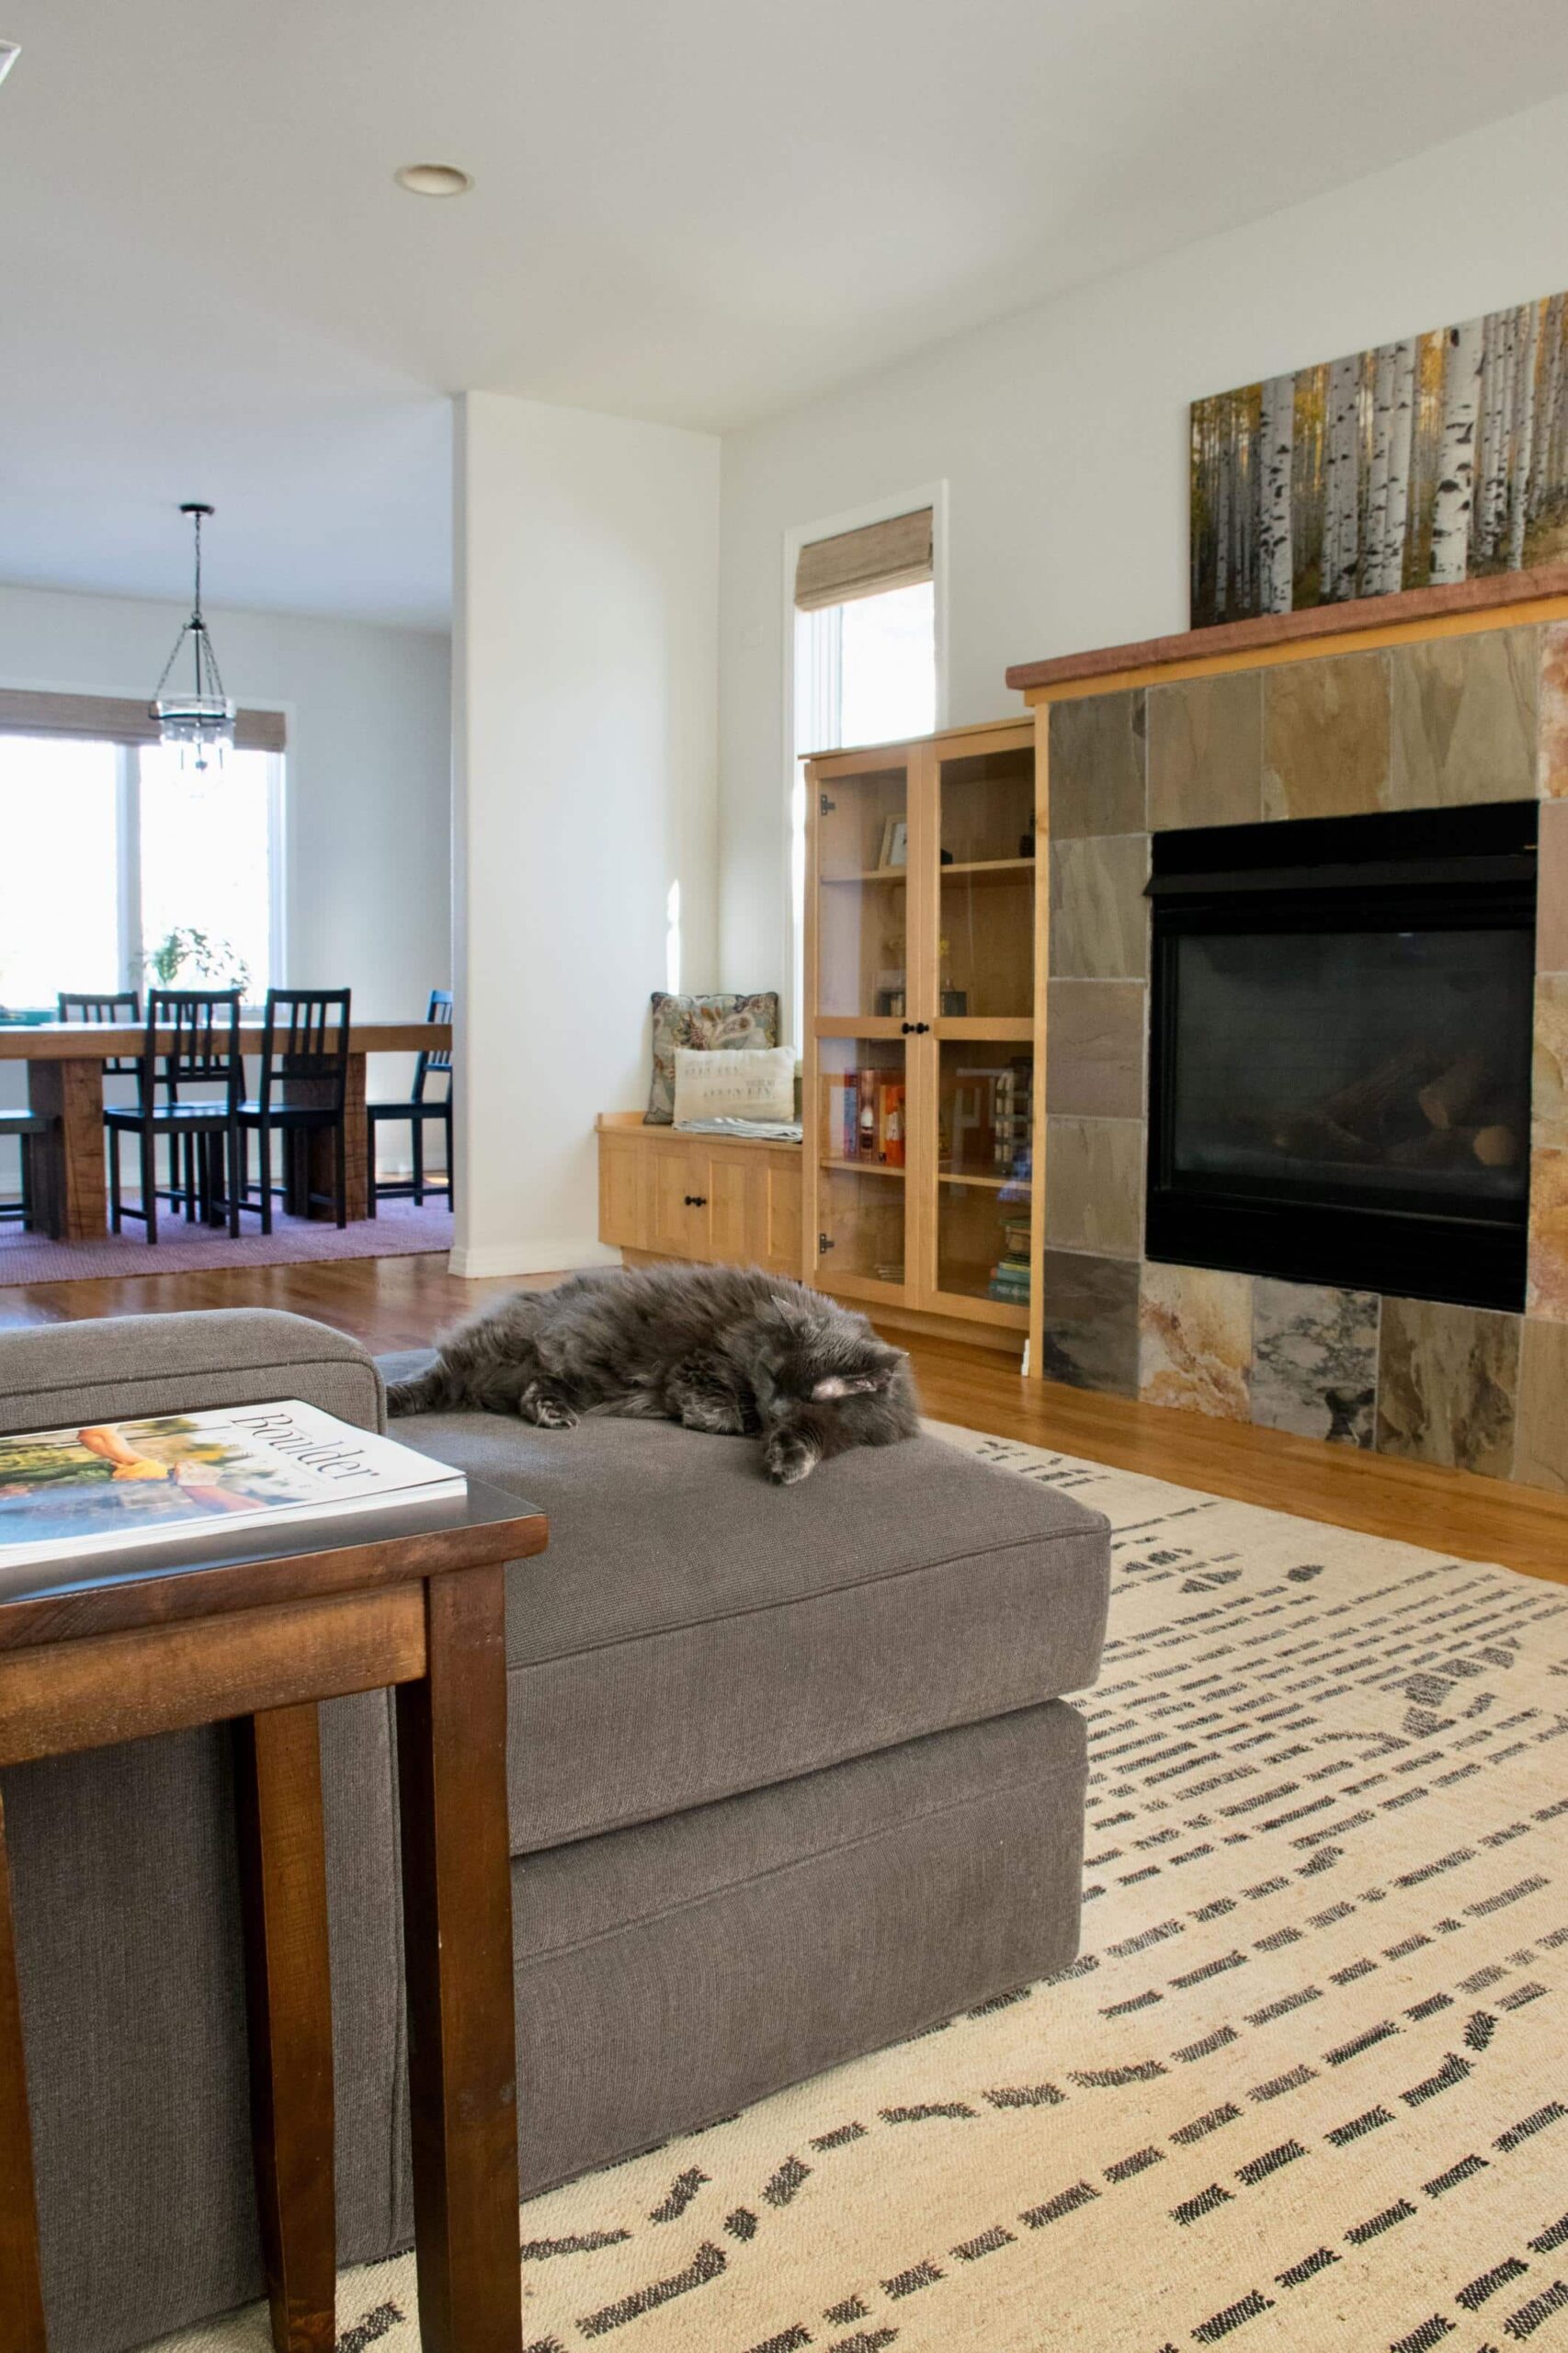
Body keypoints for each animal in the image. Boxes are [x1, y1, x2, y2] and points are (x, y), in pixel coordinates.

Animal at [383, 1261, 918, 1477]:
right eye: (772, 1377)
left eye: (806, 1393)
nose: (775, 1406)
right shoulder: (703, 1360)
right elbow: (719, 1406)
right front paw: (727, 1422)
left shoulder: (843, 1429)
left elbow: (807, 1440)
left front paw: (787, 1463)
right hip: (497, 1352)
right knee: (431, 1380)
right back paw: (386, 1402)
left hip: (573, 1381)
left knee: (533, 1389)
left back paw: (553, 1416)